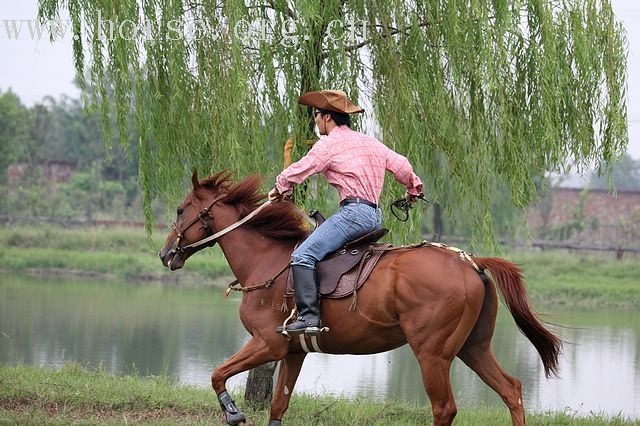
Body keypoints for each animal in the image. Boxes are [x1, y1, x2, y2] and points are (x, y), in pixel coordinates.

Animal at [159, 171, 560, 426]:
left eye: (180, 209)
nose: (165, 254)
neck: (268, 261)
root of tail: (470, 261)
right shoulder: (292, 353)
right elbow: (278, 404)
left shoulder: (267, 344)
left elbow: (217, 374)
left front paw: (233, 413)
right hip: (472, 348)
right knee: (511, 390)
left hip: (433, 354)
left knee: (445, 408)